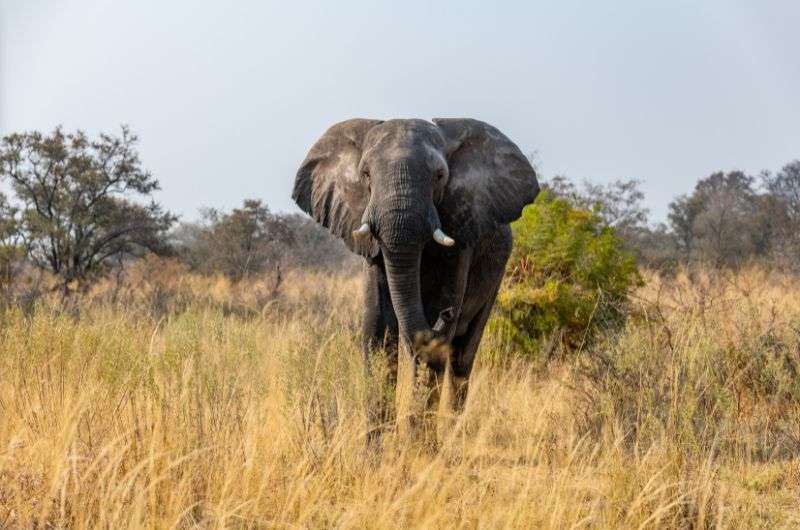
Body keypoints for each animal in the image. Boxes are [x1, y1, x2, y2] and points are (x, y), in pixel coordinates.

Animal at [290, 116, 540, 428]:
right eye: (366, 175)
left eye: (439, 177)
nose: (448, 314)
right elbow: (378, 331)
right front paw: (377, 441)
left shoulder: (460, 236)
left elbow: (431, 345)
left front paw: (418, 440)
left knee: (463, 356)